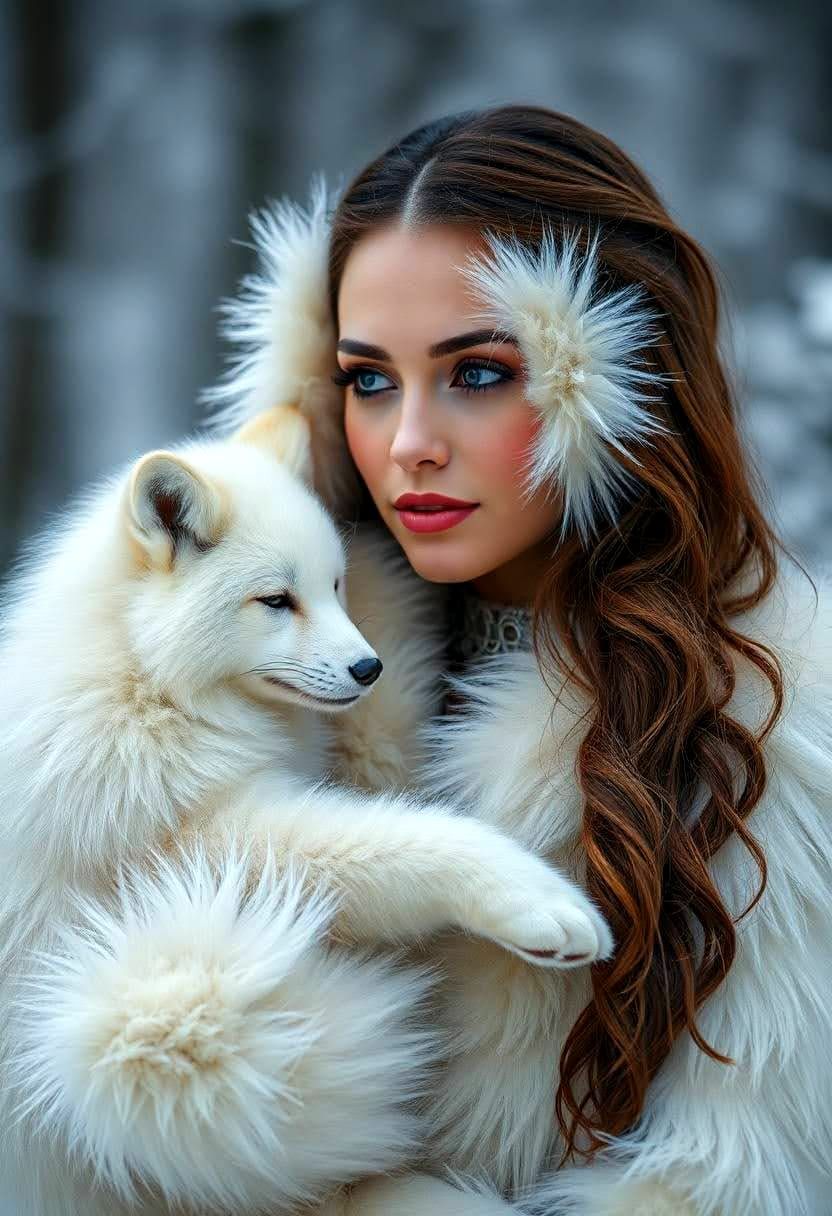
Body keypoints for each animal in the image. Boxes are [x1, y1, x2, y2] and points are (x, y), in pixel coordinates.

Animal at [0, 404, 612, 1216]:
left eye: (335, 586)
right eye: (275, 601)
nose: (369, 668)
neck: (145, 680)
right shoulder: (191, 835)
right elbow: (408, 843)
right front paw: (539, 901)